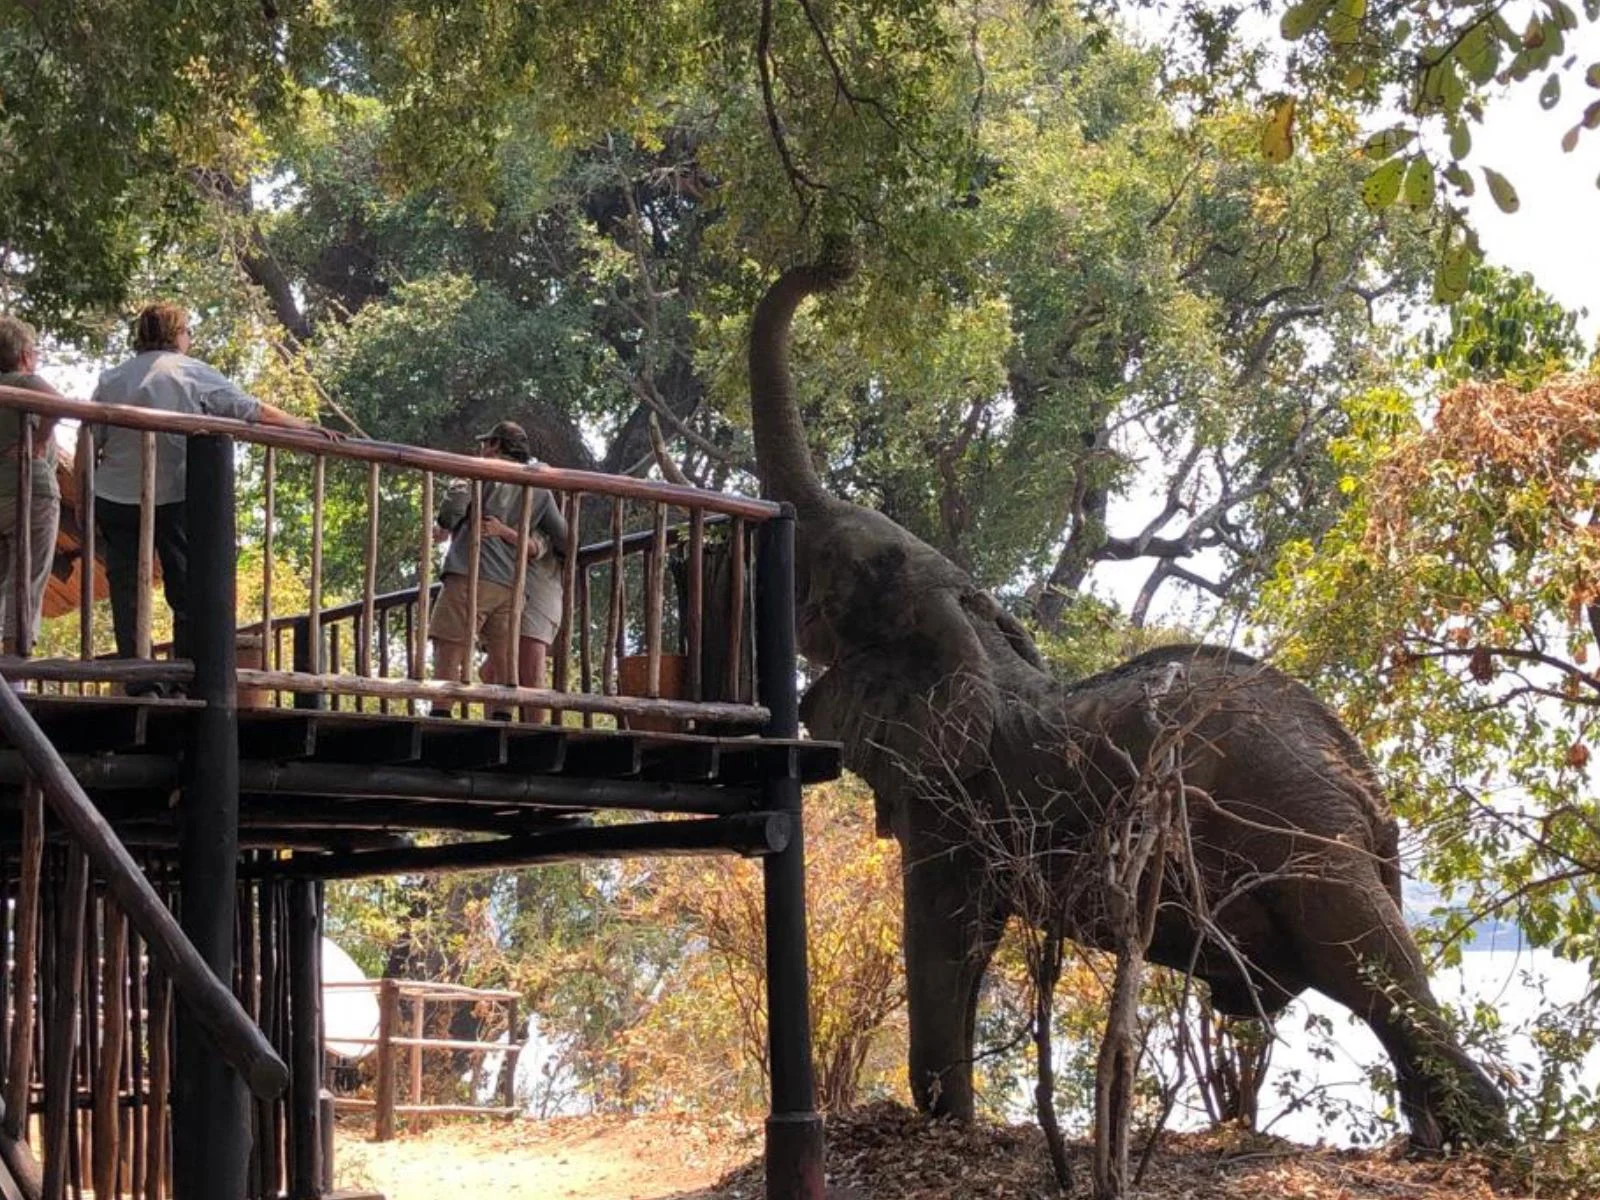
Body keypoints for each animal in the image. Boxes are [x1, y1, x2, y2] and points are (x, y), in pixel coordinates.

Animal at [746, 258, 1508, 1152]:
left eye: (841, 571)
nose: (838, 265)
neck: (977, 635)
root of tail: (1364, 785)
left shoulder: (955, 801)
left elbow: (947, 932)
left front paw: (946, 1124)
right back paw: (1429, 1142)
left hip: (1304, 834)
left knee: (1366, 965)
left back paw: (1481, 1143)